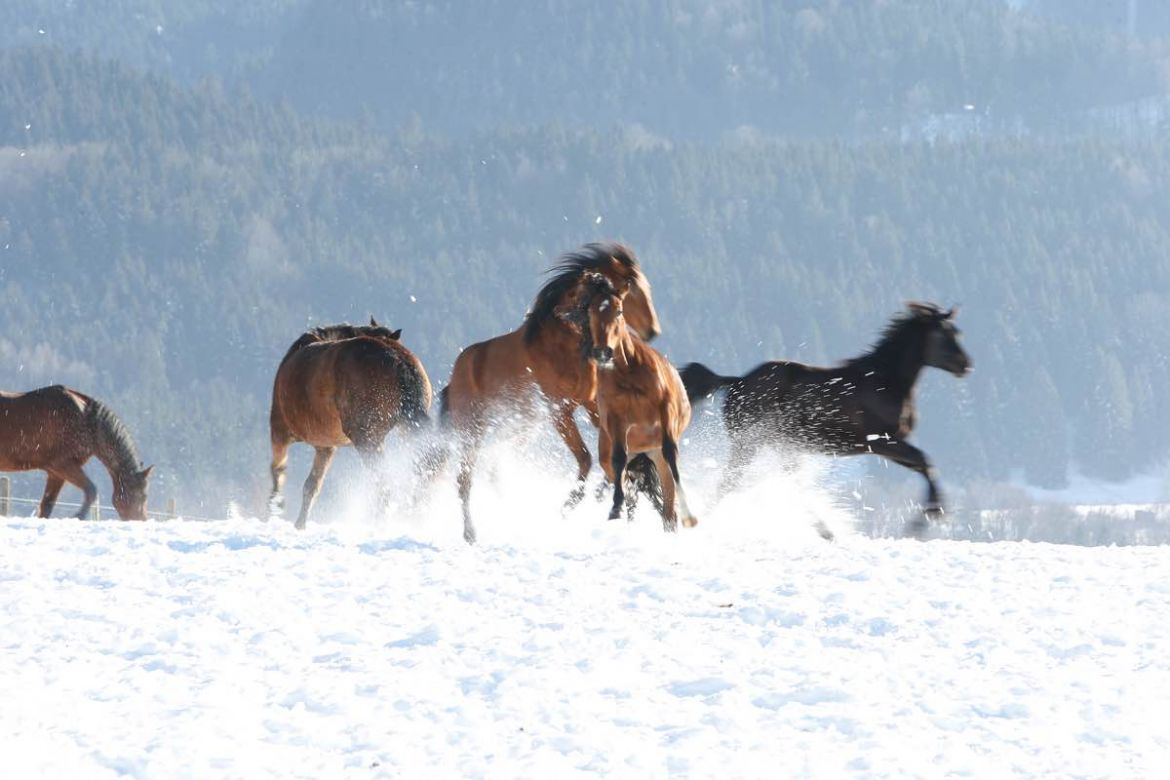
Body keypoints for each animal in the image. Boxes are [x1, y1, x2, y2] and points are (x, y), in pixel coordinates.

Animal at [0, 388, 153, 521]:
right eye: (142, 496)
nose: (141, 521)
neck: (87, 422)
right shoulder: (62, 465)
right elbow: (91, 490)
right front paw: (78, 516)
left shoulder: (56, 474)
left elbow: (47, 506)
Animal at [270, 318, 435, 530]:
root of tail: (399, 362)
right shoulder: (325, 447)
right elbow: (311, 486)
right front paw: (300, 524)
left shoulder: (280, 431)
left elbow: (279, 471)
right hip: (403, 432)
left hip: (368, 439)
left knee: (383, 484)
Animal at [439, 240, 664, 547]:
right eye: (633, 287)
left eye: (618, 306)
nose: (653, 331)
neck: (561, 344)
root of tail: (457, 373)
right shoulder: (561, 410)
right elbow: (586, 457)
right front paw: (570, 505)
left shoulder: (592, 405)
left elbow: (613, 453)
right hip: (472, 429)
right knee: (465, 479)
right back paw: (471, 533)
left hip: (514, 428)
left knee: (495, 469)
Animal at [575, 273, 692, 530]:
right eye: (590, 311)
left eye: (619, 310)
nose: (603, 352)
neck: (629, 374)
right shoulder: (616, 418)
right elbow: (619, 459)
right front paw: (615, 509)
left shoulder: (665, 410)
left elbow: (671, 451)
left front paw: (690, 514)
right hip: (617, 455)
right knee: (626, 477)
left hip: (654, 454)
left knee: (668, 505)